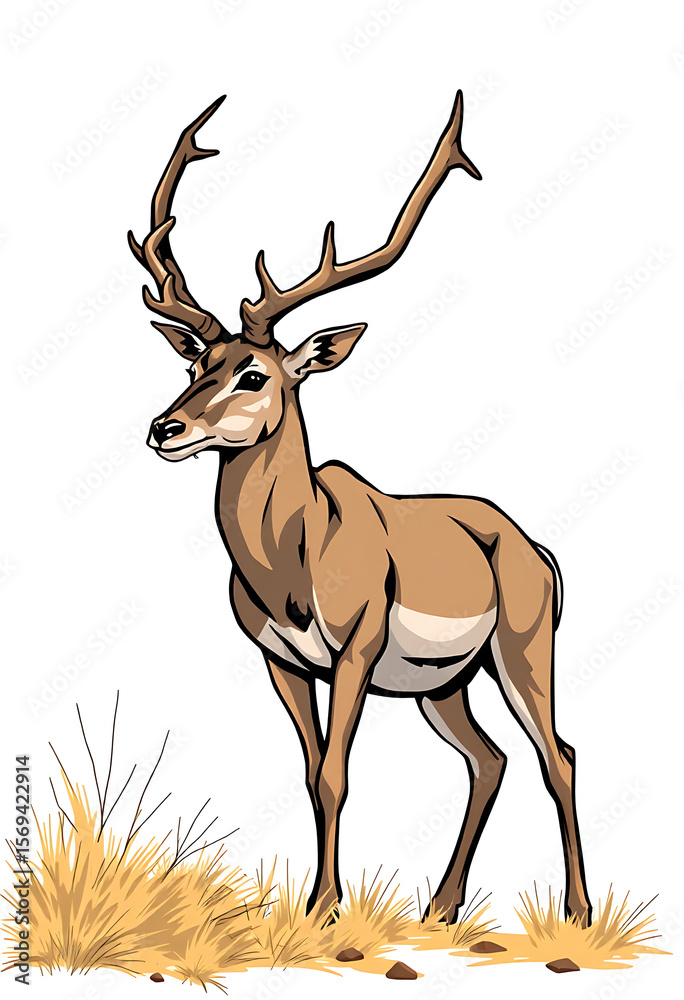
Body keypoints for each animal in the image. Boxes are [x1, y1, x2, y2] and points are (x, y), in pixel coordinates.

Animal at [129, 92, 592, 927]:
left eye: (255, 374)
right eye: (194, 365)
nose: (164, 428)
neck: (291, 559)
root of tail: (536, 550)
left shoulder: (356, 650)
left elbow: (336, 774)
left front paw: (324, 909)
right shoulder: (281, 660)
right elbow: (312, 771)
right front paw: (318, 906)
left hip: (521, 649)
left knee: (558, 754)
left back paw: (577, 912)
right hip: (443, 684)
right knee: (490, 759)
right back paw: (440, 908)